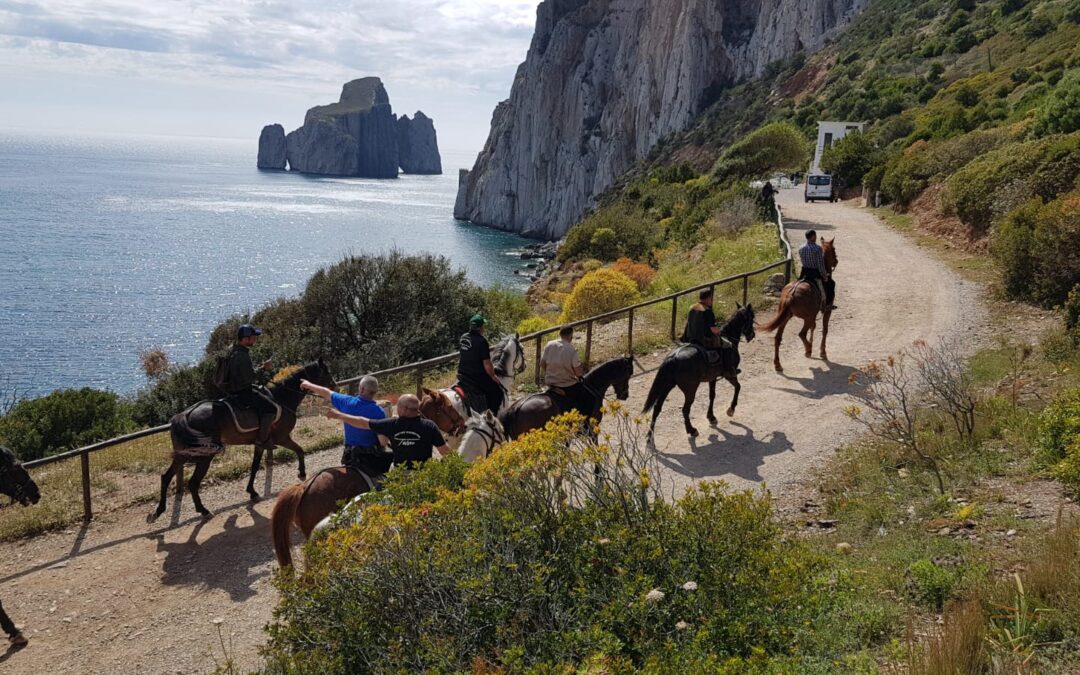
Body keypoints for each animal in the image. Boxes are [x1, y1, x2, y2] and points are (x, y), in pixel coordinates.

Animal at [147, 358, 332, 520]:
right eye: (326, 373)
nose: (334, 386)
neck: (283, 398)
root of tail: (183, 416)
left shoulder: (262, 443)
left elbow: (255, 465)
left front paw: (252, 492)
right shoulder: (282, 437)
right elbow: (299, 450)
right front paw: (302, 472)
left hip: (183, 453)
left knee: (166, 477)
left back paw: (158, 511)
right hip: (204, 456)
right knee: (192, 483)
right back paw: (203, 510)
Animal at [643, 304, 756, 436]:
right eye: (751, 318)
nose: (752, 335)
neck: (729, 338)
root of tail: (673, 357)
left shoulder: (713, 378)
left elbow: (712, 395)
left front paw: (711, 416)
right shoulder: (730, 375)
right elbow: (738, 387)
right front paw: (731, 409)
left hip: (667, 386)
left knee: (657, 408)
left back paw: (650, 435)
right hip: (690, 389)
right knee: (685, 409)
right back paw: (691, 430)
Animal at [756, 238, 838, 373]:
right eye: (833, 249)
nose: (836, 261)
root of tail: (790, 294)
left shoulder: (814, 315)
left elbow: (814, 328)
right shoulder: (827, 311)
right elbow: (824, 330)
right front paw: (822, 352)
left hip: (787, 317)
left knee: (778, 338)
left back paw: (778, 364)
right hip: (806, 317)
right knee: (801, 334)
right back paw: (808, 349)